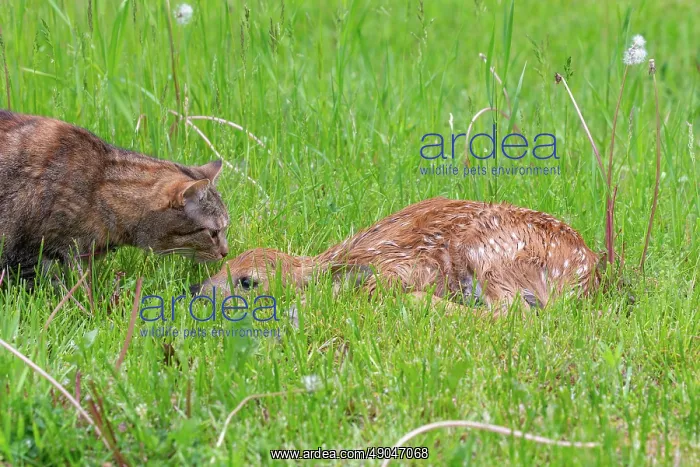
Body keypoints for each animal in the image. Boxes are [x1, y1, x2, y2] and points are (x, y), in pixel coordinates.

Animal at [190, 197, 601, 315]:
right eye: (225, 263)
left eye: (247, 282)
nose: (197, 292)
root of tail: (582, 277)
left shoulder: (406, 263)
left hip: (491, 254)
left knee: (514, 314)